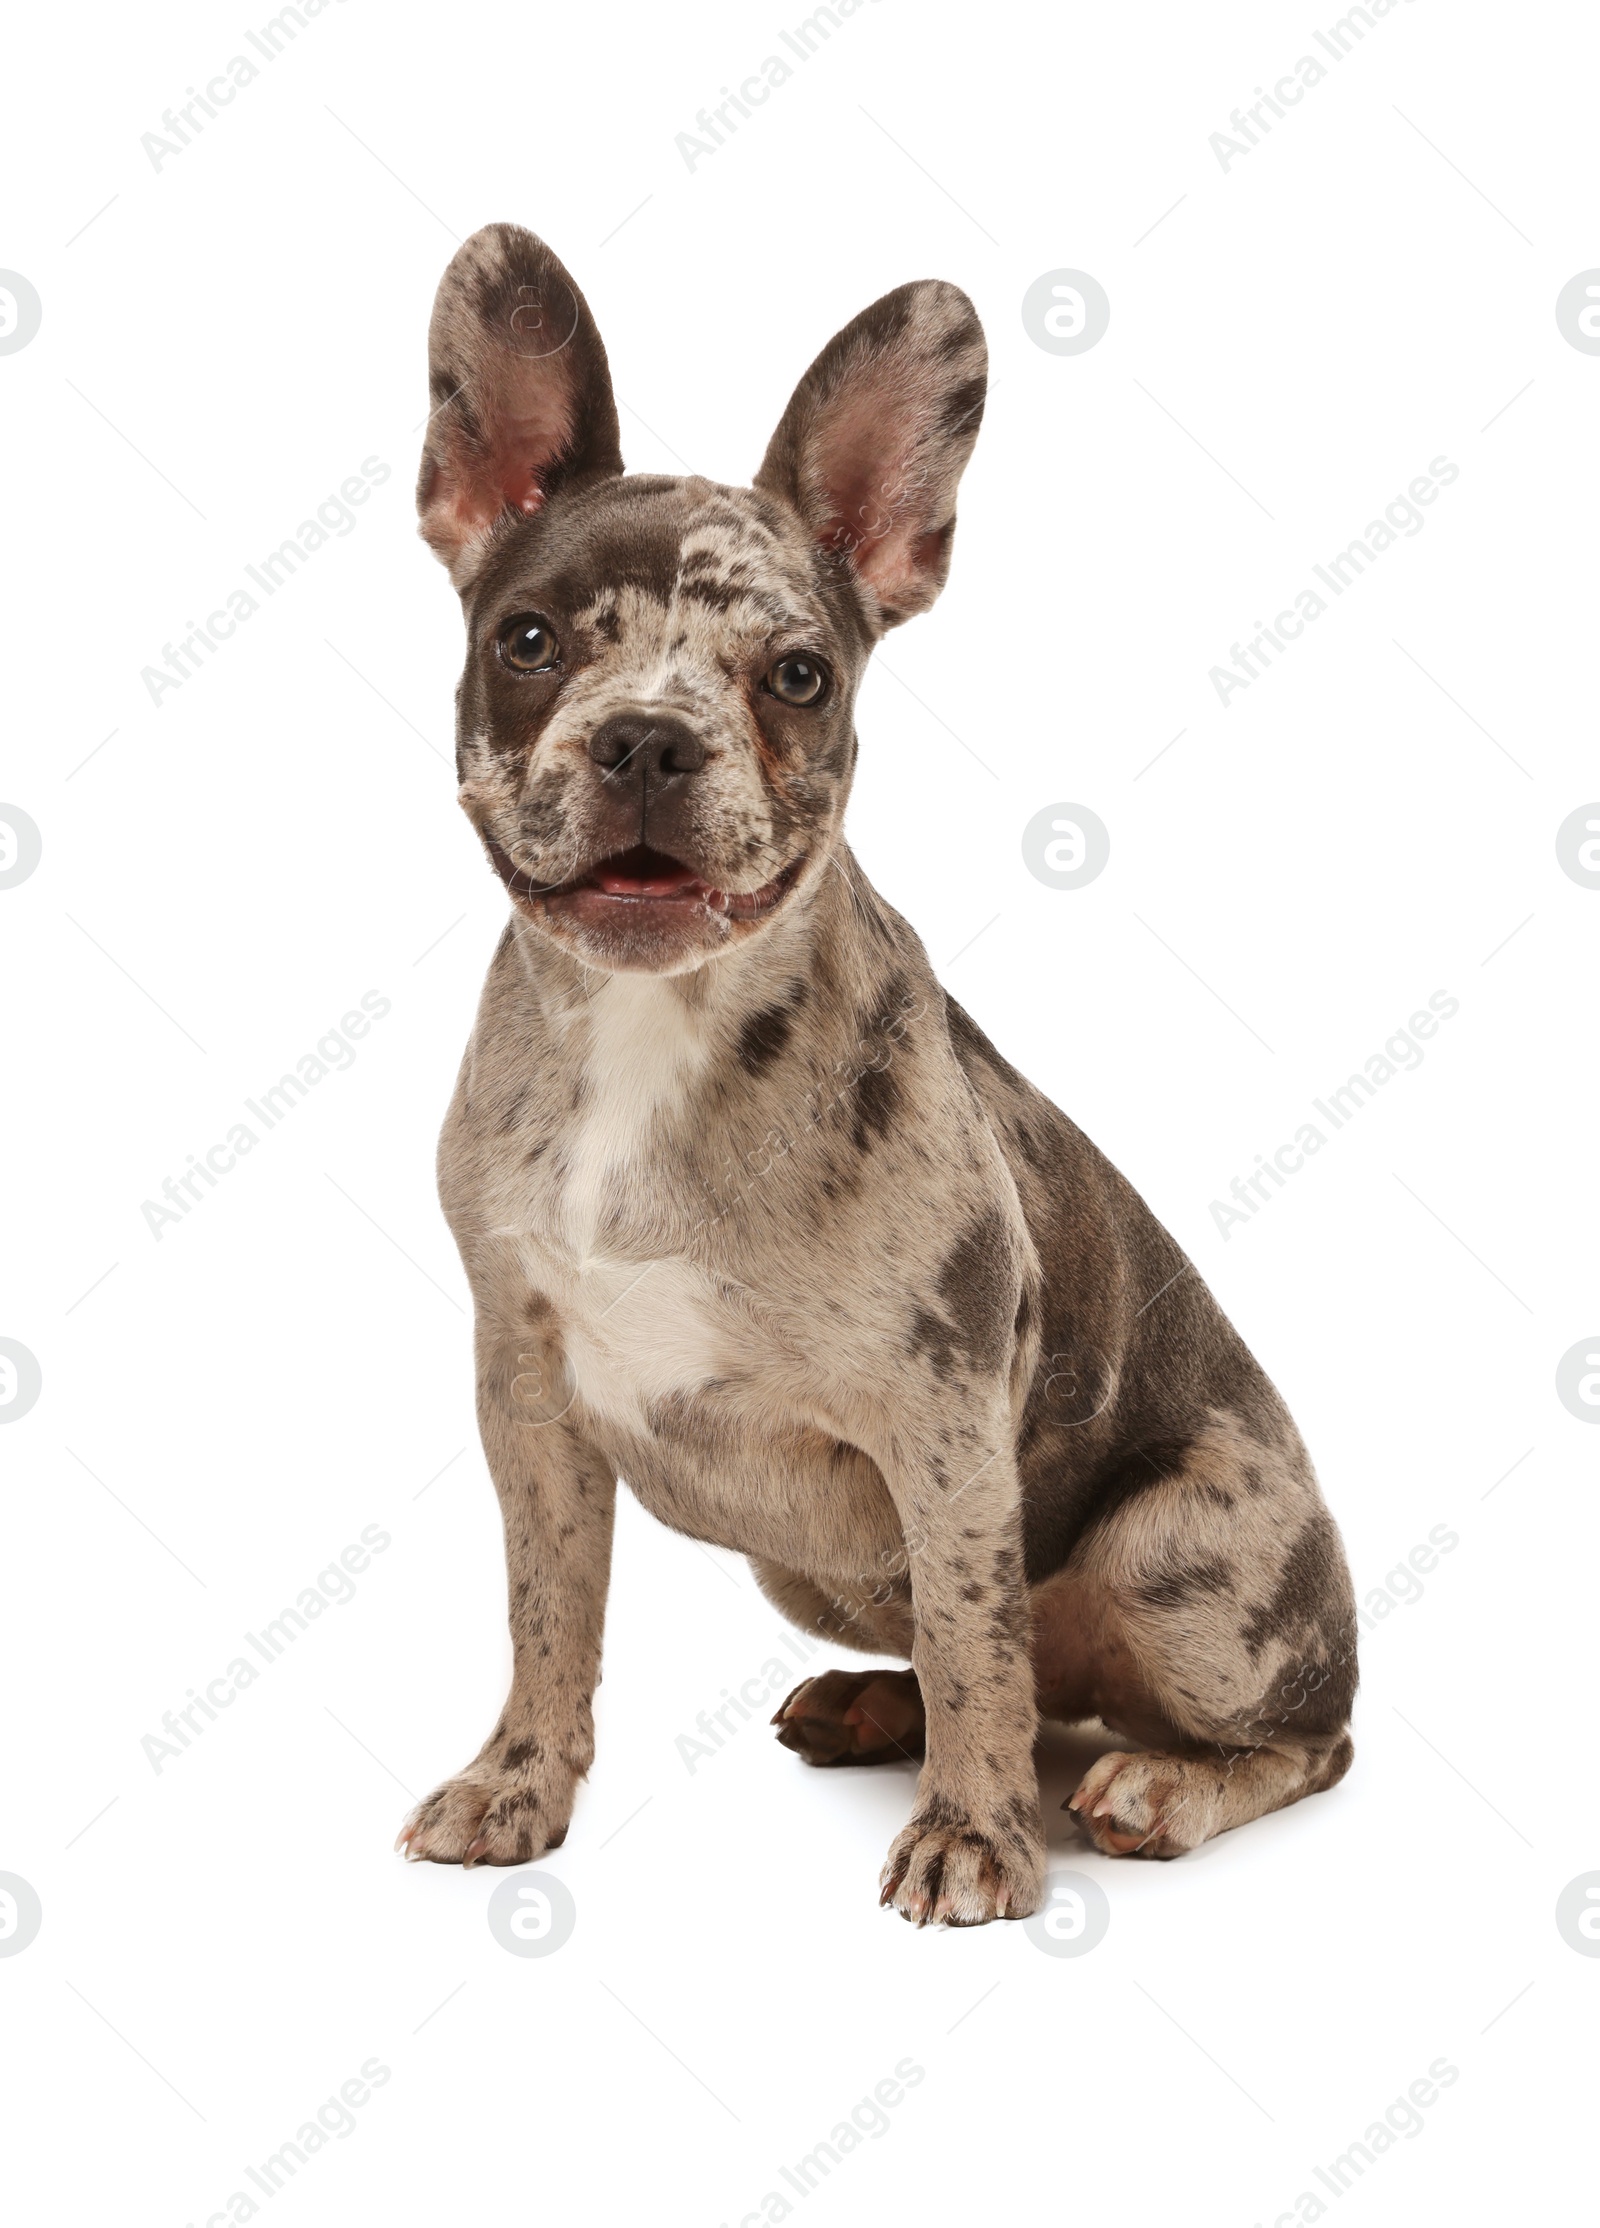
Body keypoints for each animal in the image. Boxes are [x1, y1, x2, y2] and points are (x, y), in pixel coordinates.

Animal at [394, 230, 1363, 1933]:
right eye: (529, 642)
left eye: (797, 675)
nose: (646, 739)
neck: (653, 1030)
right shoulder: (529, 1398)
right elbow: (544, 1611)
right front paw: (521, 1781)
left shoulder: (946, 1419)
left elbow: (979, 1636)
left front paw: (975, 1836)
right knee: (1005, 1671)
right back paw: (873, 1706)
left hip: (1186, 1553)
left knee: (1277, 1733)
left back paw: (1159, 1785)